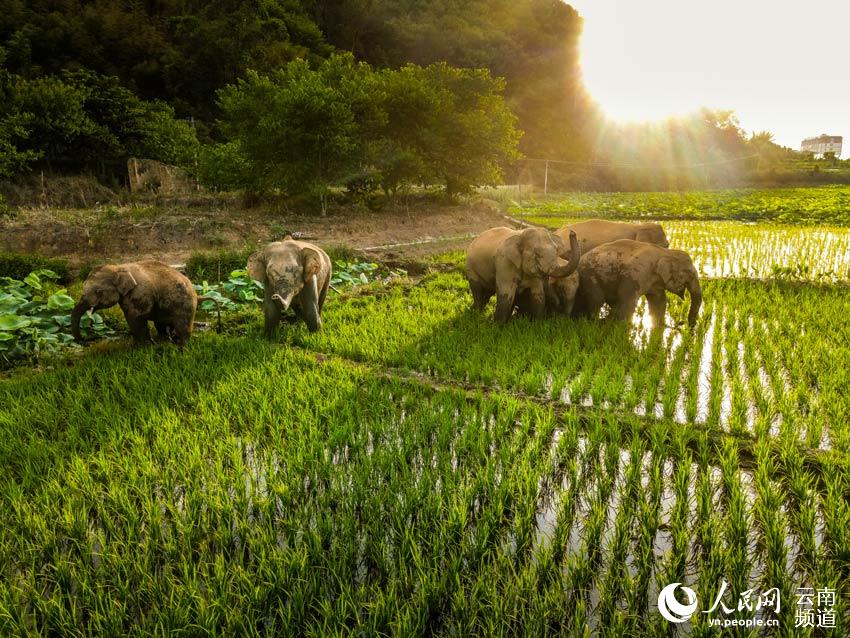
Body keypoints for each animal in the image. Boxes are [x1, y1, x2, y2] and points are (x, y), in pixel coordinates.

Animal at [574, 239, 702, 327]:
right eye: (689, 275)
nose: (686, 325)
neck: (665, 252)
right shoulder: (635, 275)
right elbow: (628, 302)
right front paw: (620, 329)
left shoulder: (655, 282)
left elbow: (658, 302)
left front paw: (659, 326)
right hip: (589, 276)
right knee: (597, 301)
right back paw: (594, 322)